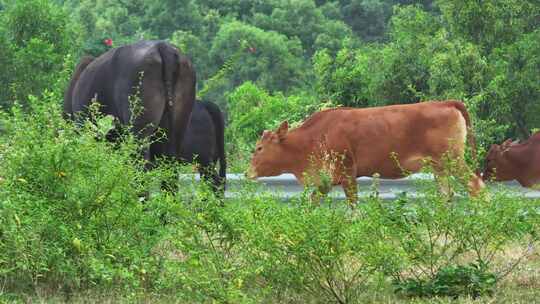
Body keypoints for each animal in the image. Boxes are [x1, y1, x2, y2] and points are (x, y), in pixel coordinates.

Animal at [247, 100, 484, 204]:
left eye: (259, 148)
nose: (247, 173)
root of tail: (446, 102)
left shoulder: (347, 174)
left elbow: (353, 206)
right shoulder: (326, 180)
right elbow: (312, 201)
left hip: (453, 160)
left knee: (476, 185)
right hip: (439, 167)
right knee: (446, 194)